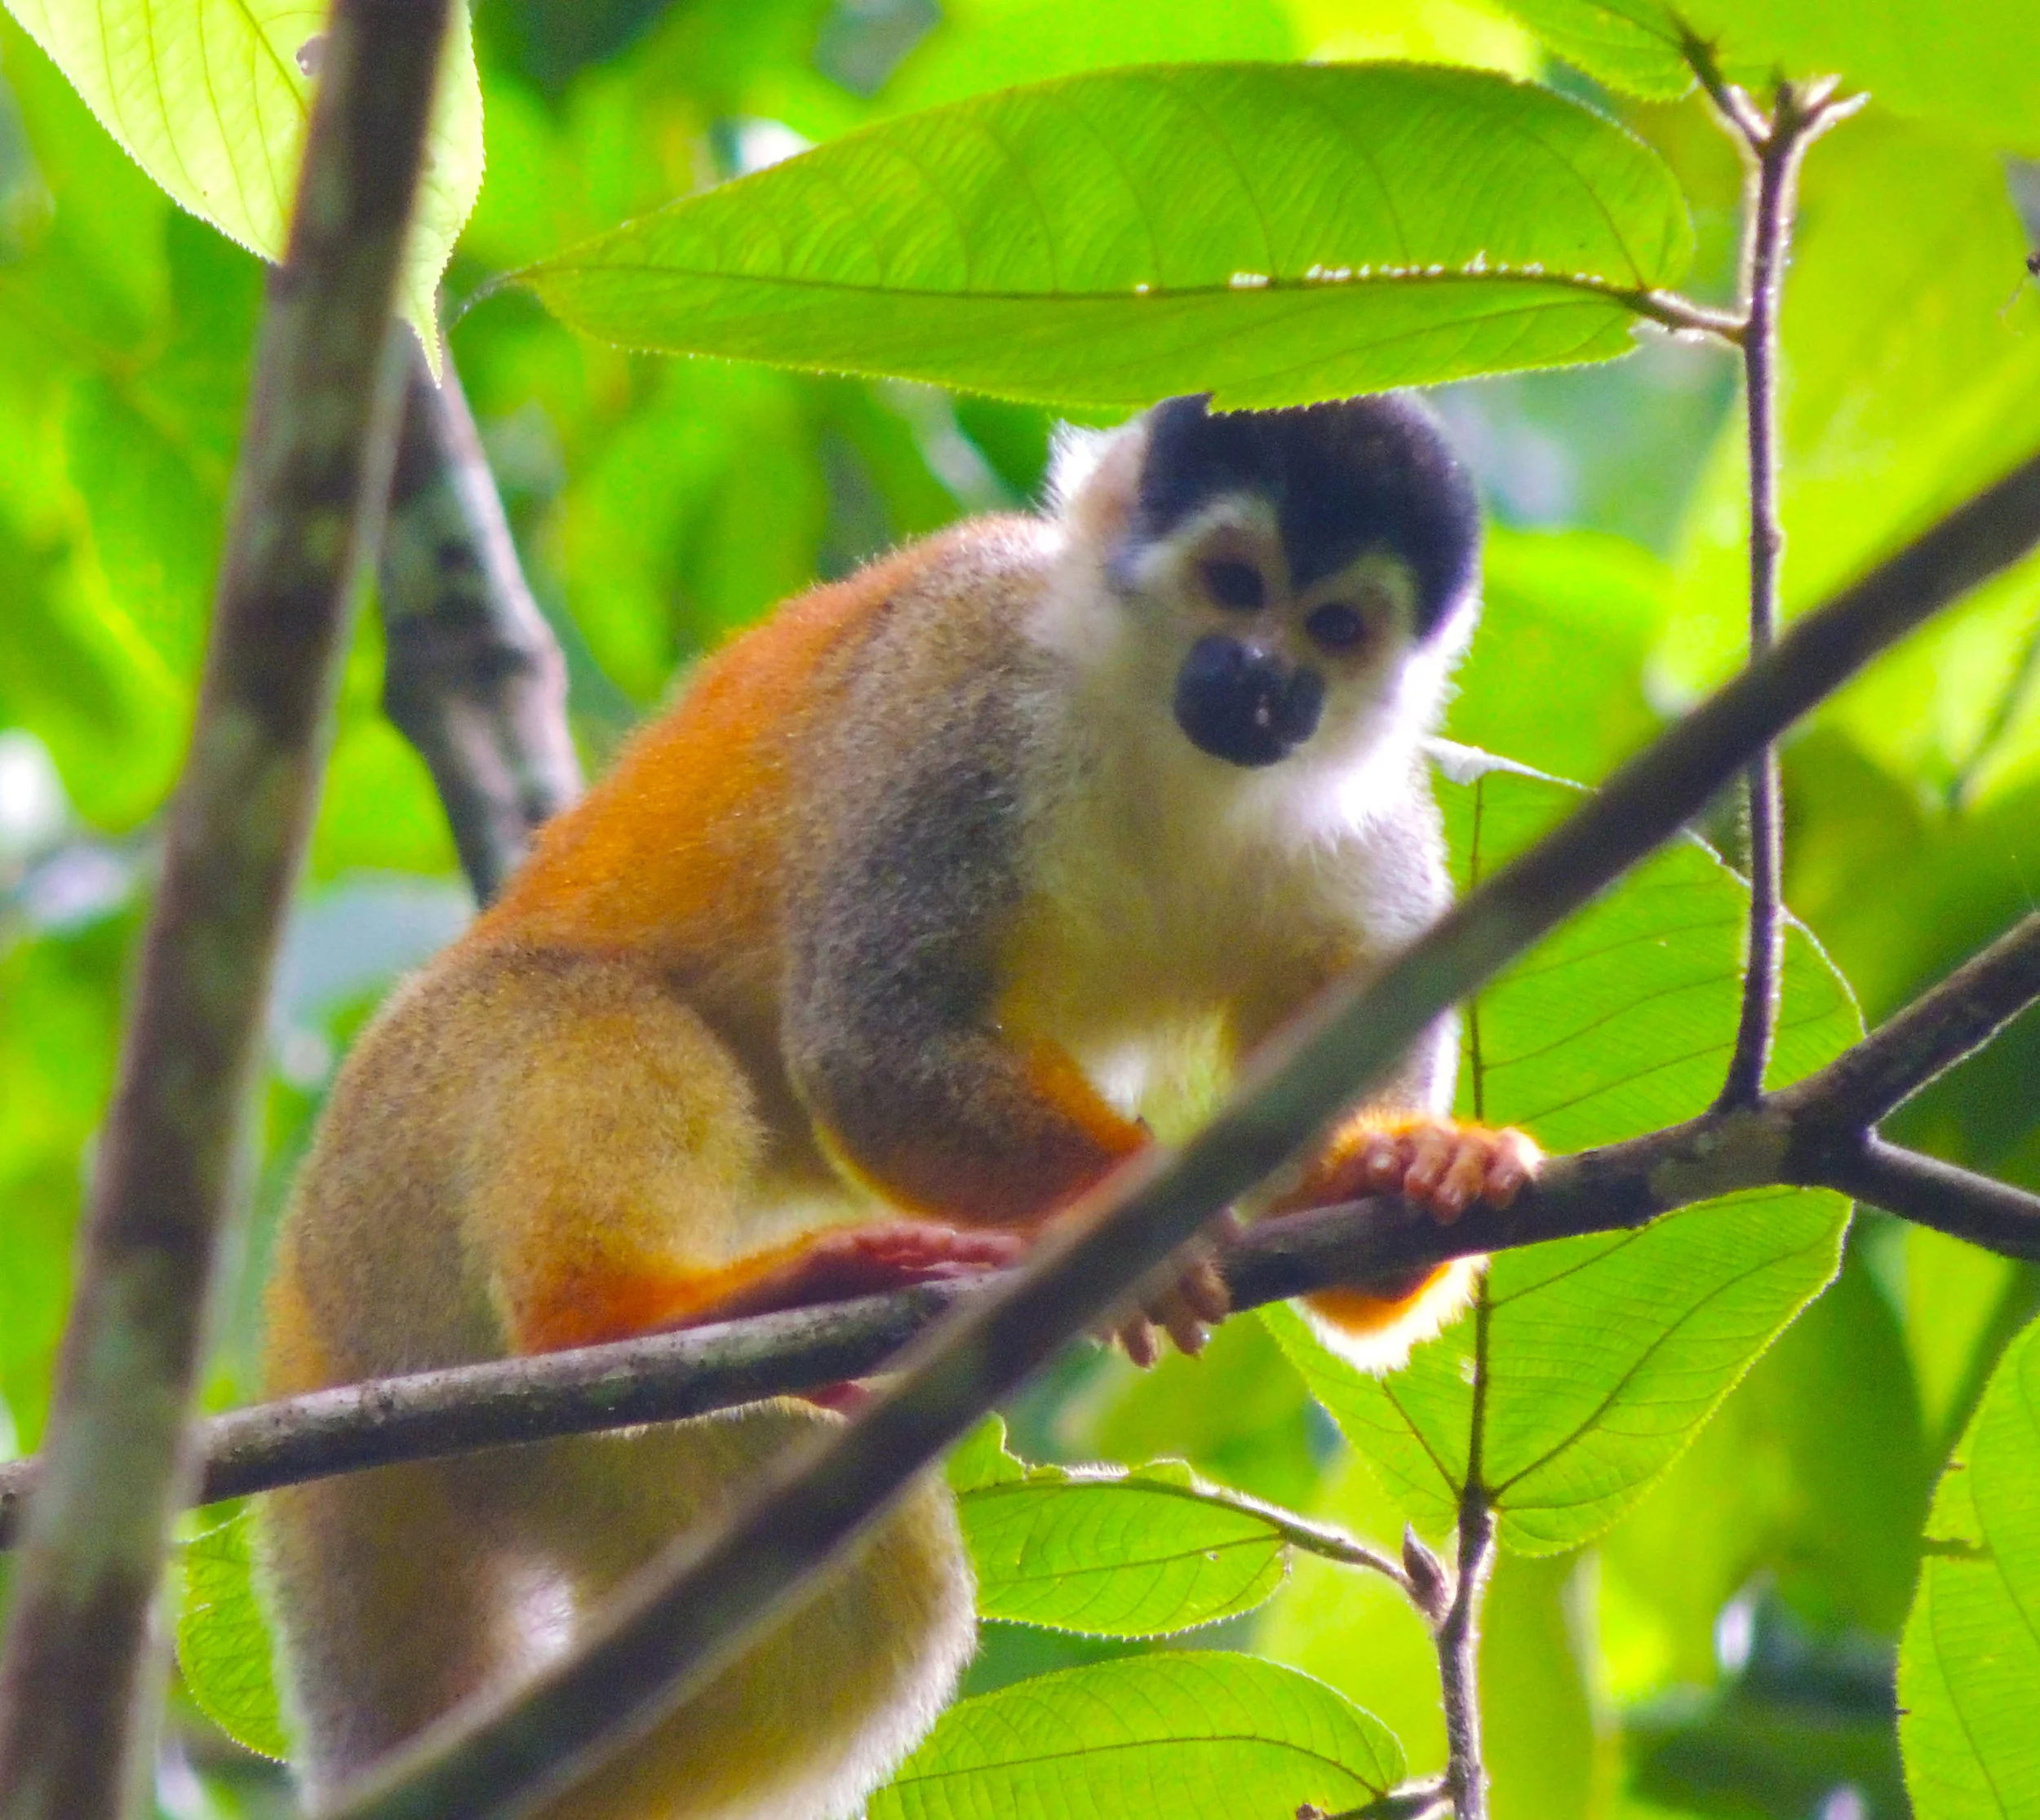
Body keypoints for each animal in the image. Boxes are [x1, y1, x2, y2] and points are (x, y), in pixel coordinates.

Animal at [258, 390, 1539, 1820]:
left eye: (1337, 626)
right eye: (1233, 583)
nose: (1267, 681)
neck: (1165, 745)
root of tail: (303, 1301)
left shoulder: (1373, 817)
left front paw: (1397, 1179)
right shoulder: (962, 695)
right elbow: (870, 1046)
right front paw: (1131, 1230)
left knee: (863, 1612)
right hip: (399, 1175)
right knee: (586, 1009)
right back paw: (628, 1308)